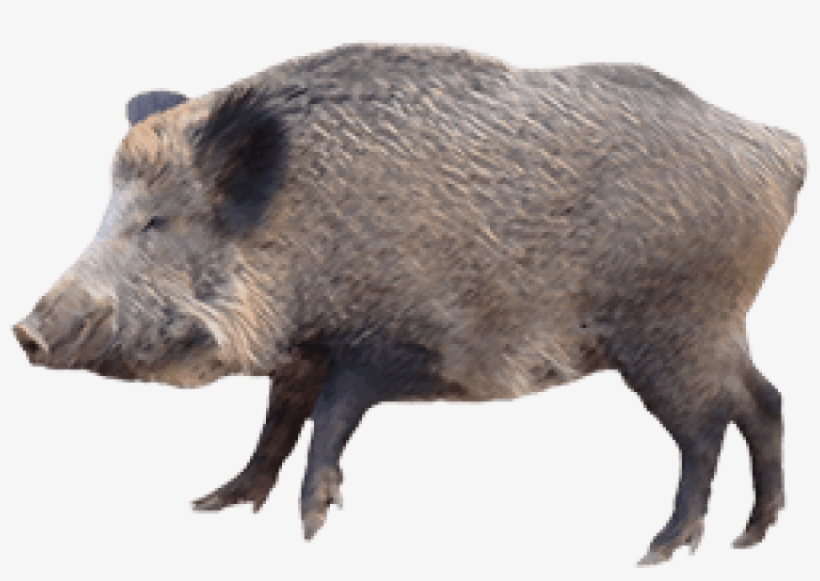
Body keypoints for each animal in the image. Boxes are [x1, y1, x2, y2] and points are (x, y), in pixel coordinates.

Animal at [12, 44, 806, 565]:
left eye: (158, 221)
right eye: (110, 211)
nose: (25, 330)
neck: (299, 234)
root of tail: (780, 149)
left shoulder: (395, 344)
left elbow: (330, 420)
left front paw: (310, 527)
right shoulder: (303, 355)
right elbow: (275, 425)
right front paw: (216, 503)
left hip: (668, 331)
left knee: (705, 430)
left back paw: (660, 550)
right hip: (712, 330)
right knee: (763, 400)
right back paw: (751, 536)